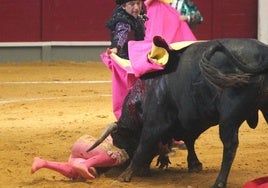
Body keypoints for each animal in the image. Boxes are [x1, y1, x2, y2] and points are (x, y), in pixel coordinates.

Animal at [89, 37, 268, 188]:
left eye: (120, 139)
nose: (120, 166)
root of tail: (262, 54)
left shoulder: (154, 124)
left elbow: (143, 147)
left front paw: (125, 175)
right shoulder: (188, 121)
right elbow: (189, 140)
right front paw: (194, 164)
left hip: (229, 116)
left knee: (230, 145)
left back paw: (219, 182)